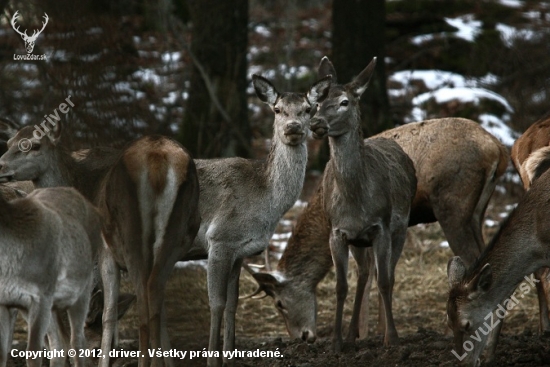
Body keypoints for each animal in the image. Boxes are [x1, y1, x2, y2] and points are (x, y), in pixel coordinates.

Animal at [0, 187, 103, 367]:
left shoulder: (41, 297)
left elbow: (33, 353)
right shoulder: (5, 301)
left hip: (83, 290)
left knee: (77, 341)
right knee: (59, 344)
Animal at [306, 56, 418, 352]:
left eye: (344, 101)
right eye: (317, 102)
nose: (316, 123)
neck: (356, 201)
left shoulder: (381, 227)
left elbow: (385, 281)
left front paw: (392, 339)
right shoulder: (338, 231)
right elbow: (341, 286)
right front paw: (336, 341)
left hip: (400, 228)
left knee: (387, 273)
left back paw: (381, 332)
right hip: (359, 241)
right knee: (364, 274)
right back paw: (352, 333)